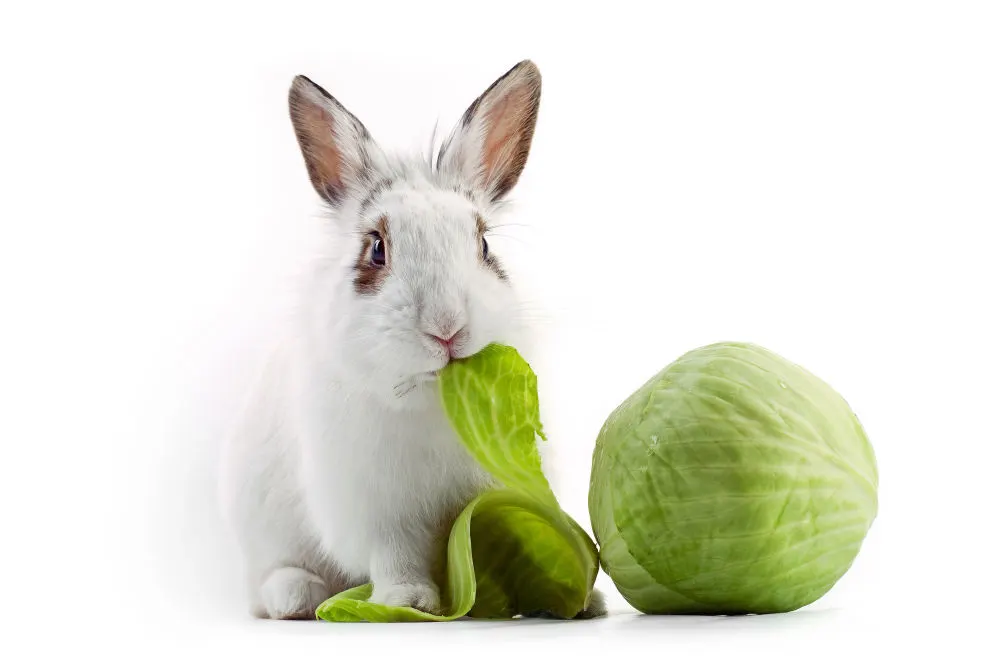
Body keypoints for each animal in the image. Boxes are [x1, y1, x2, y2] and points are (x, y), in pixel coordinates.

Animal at [220, 63, 548, 620]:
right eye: (376, 249)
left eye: (484, 245)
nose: (447, 326)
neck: (430, 400)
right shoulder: (380, 514)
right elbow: (397, 557)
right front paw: (408, 600)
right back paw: (296, 596)